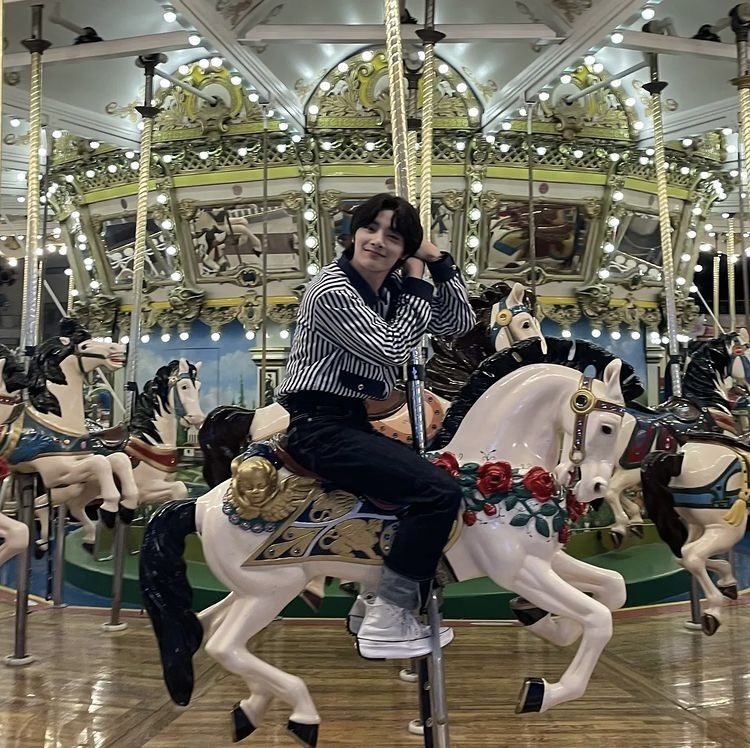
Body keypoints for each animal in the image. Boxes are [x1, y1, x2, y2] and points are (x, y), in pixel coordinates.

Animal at [1, 319, 139, 532]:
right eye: (85, 346)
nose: (119, 348)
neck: (56, 418)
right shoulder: (54, 472)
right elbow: (101, 464)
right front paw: (109, 509)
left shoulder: (79, 459)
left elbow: (117, 460)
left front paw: (127, 506)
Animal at [34, 358, 205, 554]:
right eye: (184, 386)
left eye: (198, 387)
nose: (197, 418)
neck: (152, 441)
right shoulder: (145, 489)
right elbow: (179, 488)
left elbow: (179, 491)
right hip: (67, 484)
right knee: (42, 504)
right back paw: (43, 543)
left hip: (89, 487)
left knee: (75, 506)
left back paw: (89, 539)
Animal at [140, 348, 627, 745]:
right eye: (606, 427)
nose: (595, 488)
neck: (496, 471)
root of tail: (200, 506)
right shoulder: (518, 568)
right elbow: (598, 619)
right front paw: (541, 691)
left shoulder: (544, 559)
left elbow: (612, 589)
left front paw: (546, 624)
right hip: (273, 588)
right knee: (224, 644)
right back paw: (303, 712)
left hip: (252, 587)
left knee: (207, 629)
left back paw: (251, 708)